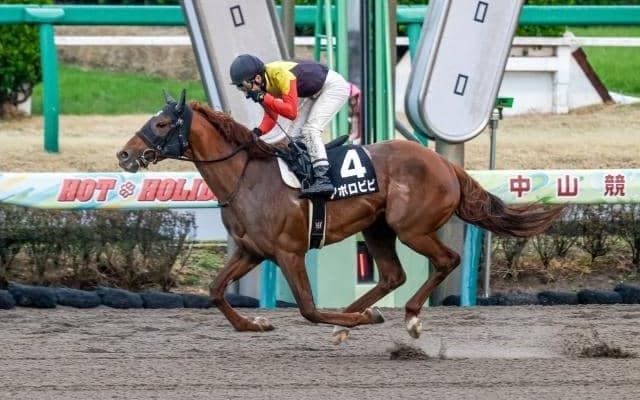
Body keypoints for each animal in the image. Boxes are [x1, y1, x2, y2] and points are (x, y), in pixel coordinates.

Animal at [117, 90, 564, 344]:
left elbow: (308, 310)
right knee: (392, 276)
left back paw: (404, 318)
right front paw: (254, 325)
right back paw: (351, 320)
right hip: (379, 228)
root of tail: (445, 163)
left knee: (445, 260)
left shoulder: (289, 252)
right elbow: (214, 290)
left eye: (161, 123)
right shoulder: (251, 251)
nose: (123, 154)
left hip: (411, 227)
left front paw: (363, 318)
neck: (246, 177)